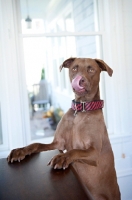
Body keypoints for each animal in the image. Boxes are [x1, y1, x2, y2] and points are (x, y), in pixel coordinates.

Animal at [7, 57, 120, 200]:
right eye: (75, 68)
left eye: (91, 69)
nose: (80, 80)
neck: (80, 111)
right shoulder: (57, 143)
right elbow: (36, 144)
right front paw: (20, 150)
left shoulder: (94, 153)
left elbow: (75, 151)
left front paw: (63, 157)